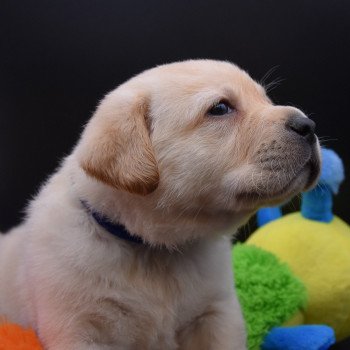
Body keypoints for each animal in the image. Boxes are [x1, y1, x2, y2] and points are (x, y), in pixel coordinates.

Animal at [0, 60, 320, 348]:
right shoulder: (77, 330)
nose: (308, 125)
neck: (154, 251)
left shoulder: (217, 315)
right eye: (220, 108)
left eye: (266, 100)